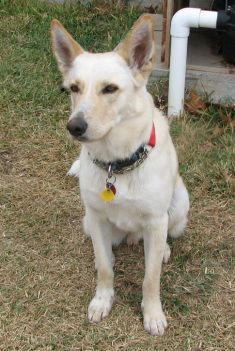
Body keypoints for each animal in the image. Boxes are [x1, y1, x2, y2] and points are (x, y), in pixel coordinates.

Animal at [51, 15, 189, 336]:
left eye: (110, 89)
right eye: (74, 88)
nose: (74, 126)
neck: (117, 164)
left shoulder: (156, 220)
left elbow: (151, 278)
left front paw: (152, 314)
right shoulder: (97, 217)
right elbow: (105, 268)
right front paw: (103, 301)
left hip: (179, 206)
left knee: (164, 238)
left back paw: (163, 249)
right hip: (88, 223)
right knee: (105, 250)